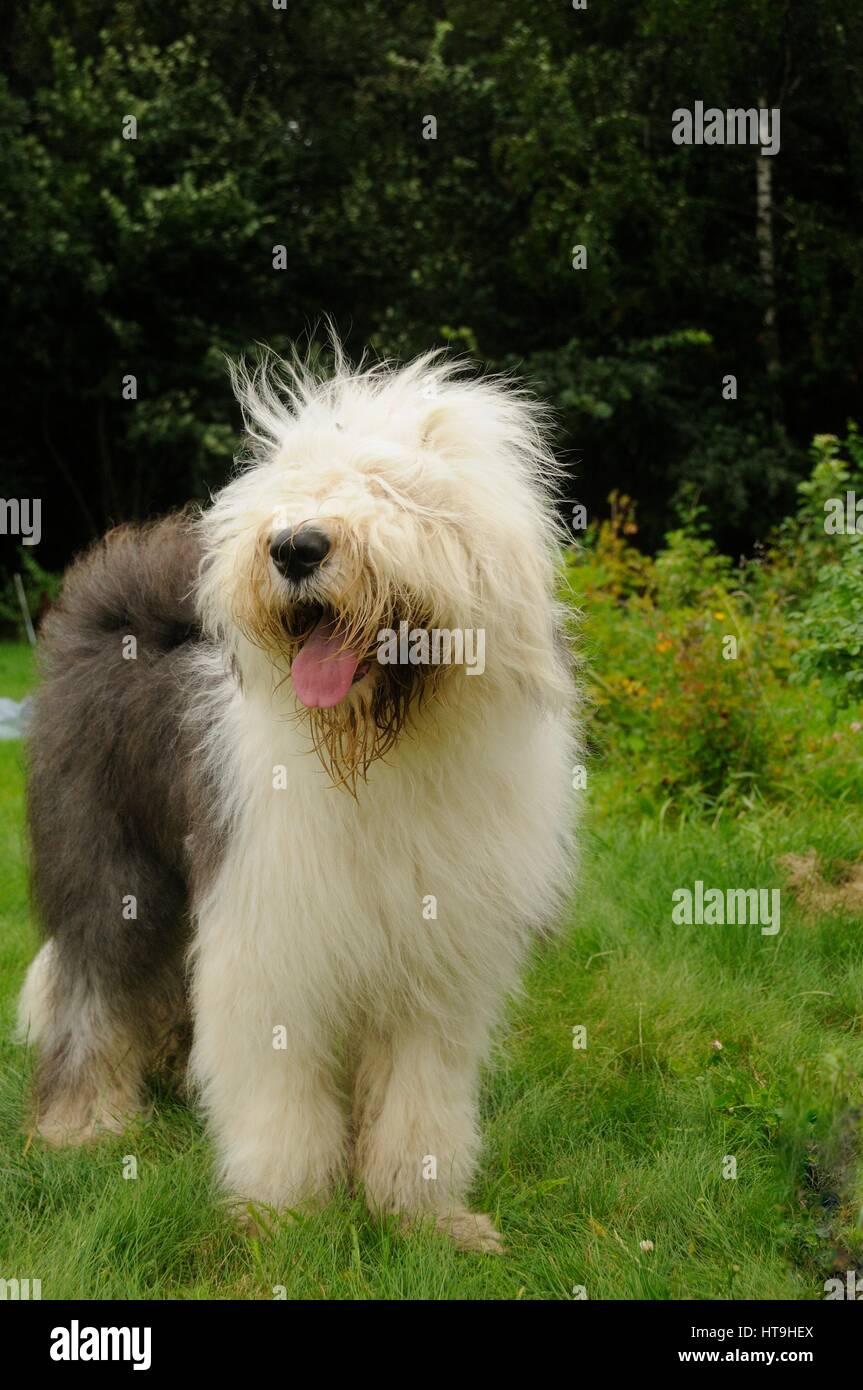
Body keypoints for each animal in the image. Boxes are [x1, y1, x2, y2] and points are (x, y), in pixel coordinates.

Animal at [18, 344, 572, 1251]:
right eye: (301, 485)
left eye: (391, 488)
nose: (296, 547)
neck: (379, 754)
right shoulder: (268, 934)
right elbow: (276, 1086)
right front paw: (284, 1212)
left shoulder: (436, 958)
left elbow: (420, 1101)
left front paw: (425, 1218)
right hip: (108, 859)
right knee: (94, 984)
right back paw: (84, 1120)